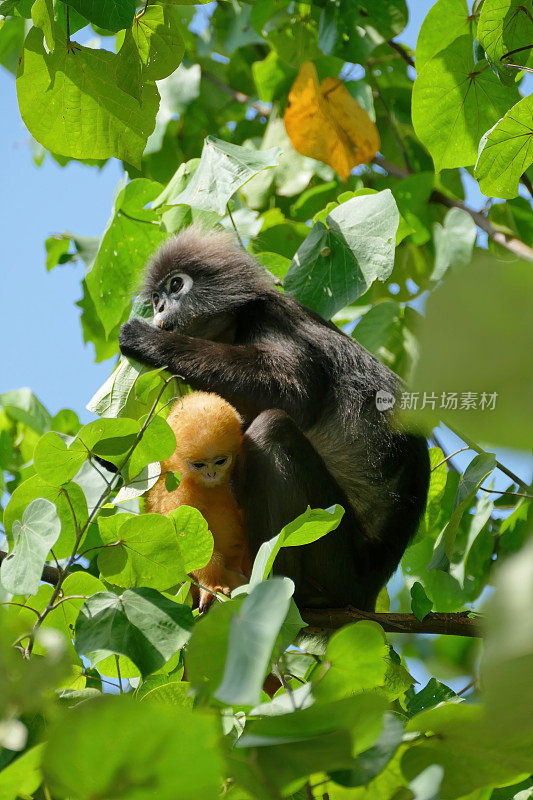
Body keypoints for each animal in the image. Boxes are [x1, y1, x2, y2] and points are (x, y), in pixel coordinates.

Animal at [144, 394, 252, 612]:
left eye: (220, 461)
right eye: (199, 465)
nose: (211, 474)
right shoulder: (178, 492)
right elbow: (188, 544)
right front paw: (210, 585)